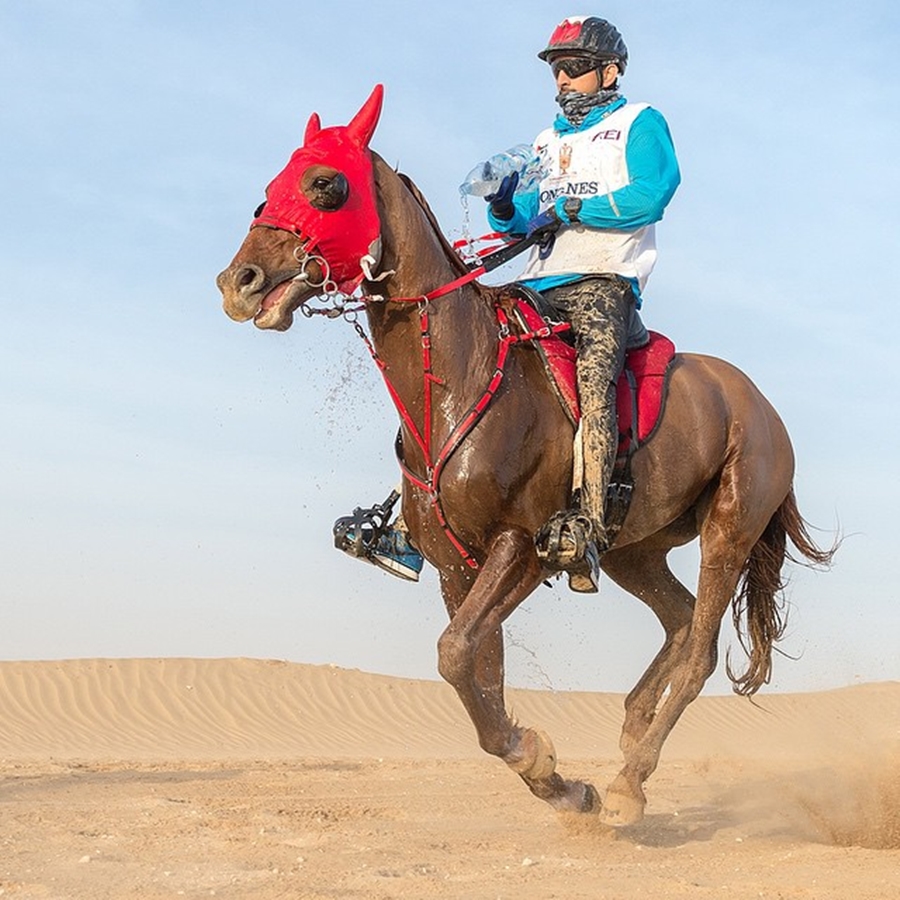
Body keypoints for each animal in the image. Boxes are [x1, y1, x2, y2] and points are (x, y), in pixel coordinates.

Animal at [214, 88, 832, 828]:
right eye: (268, 191)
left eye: (327, 186)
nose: (239, 282)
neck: (463, 375)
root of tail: (764, 409)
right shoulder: (458, 568)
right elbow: (478, 670)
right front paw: (555, 779)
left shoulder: (520, 547)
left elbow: (455, 655)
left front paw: (544, 763)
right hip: (632, 551)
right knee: (681, 622)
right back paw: (630, 733)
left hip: (729, 530)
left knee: (700, 654)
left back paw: (630, 783)